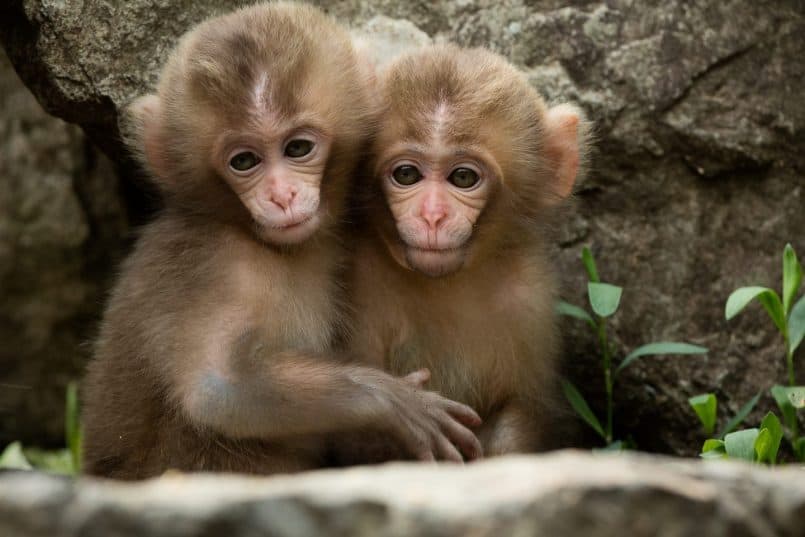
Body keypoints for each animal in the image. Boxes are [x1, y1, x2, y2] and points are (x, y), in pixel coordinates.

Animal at [82, 2, 480, 476]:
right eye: (244, 161)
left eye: (297, 149)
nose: (282, 195)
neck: (257, 240)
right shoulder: (218, 267)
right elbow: (218, 389)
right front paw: (393, 400)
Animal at [348, 45, 588, 456]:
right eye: (406, 174)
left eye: (463, 177)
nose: (432, 216)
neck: (447, 284)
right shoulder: (360, 281)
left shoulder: (529, 297)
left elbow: (523, 408)